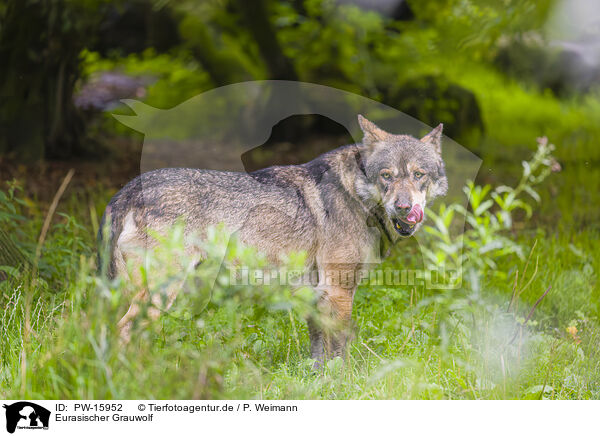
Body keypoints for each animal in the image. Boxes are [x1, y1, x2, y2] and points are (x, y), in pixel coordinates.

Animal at [97, 115, 446, 364]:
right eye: (386, 176)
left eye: (419, 175)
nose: (405, 208)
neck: (356, 195)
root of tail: (126, 190)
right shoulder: (339, 290)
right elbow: (339, 349)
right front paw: (343, 382)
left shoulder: (316, 293)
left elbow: (318, 351)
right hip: (160, 293)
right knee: (122, 332)